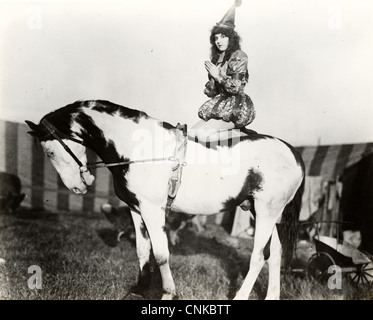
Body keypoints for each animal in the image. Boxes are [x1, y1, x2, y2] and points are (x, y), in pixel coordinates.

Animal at [26, 100, 306, 300]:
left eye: (49, 151)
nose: (77, 187)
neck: (138, 147)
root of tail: (292, 151)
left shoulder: (153, 210)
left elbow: (161, 254)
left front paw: (168, 293)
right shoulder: (136, 209)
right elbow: (142, 250)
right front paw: (139, 288)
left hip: (267, 211)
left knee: (259, 256)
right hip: (260, 211)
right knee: (276, 252)